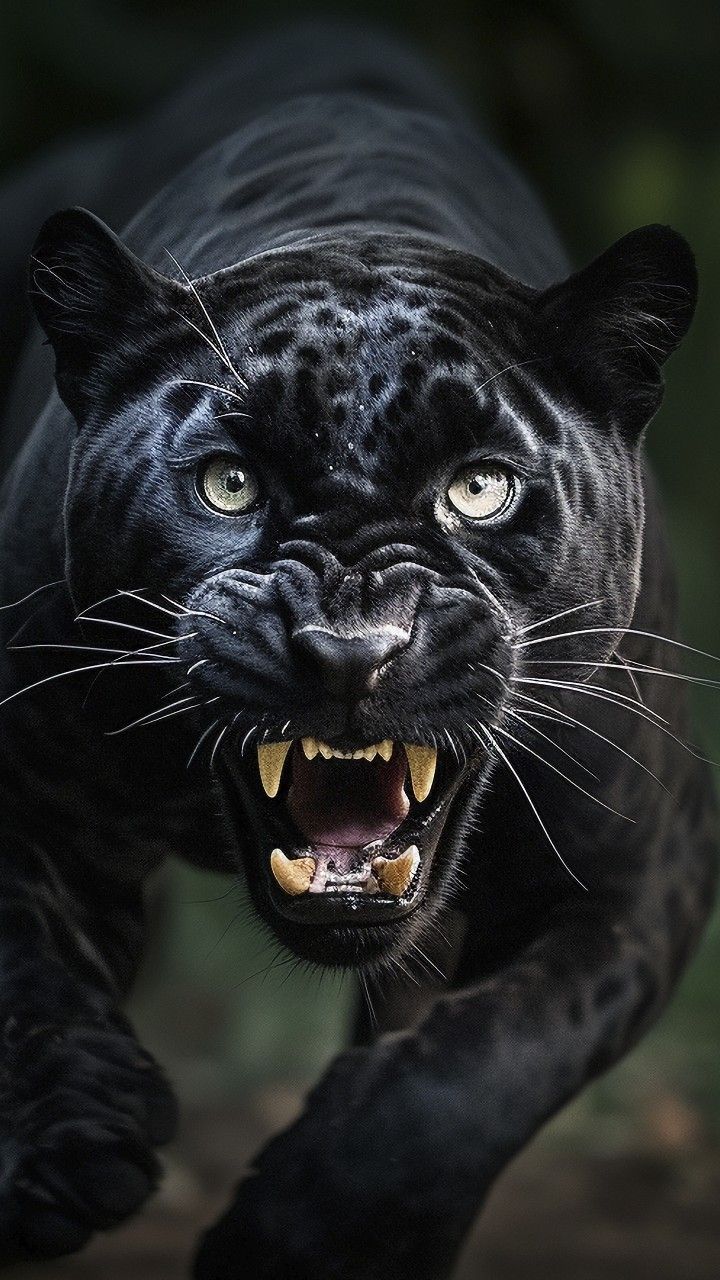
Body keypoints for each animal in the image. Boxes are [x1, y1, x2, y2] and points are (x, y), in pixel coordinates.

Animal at [0, 20, 712, 1280]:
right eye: (228, 483)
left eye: (479, 488)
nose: (347, 647)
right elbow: (27, 965)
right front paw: (71, 1150)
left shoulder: (643, 865)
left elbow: (483, 1064)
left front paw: (305, 1232)